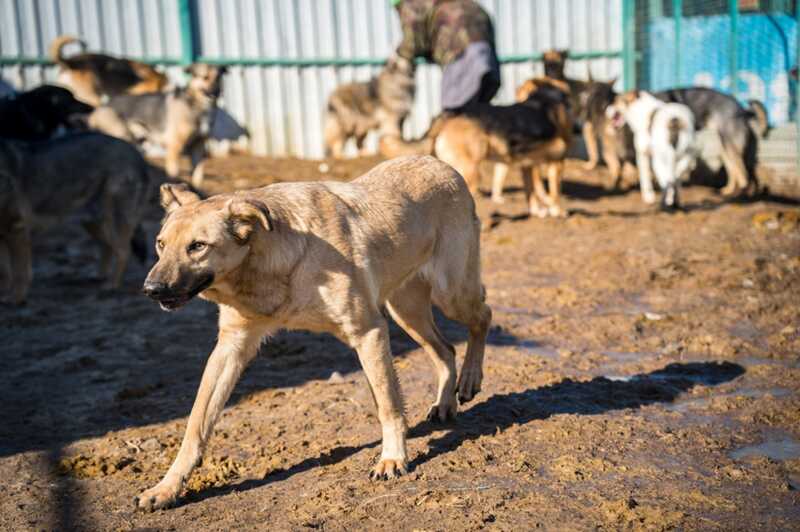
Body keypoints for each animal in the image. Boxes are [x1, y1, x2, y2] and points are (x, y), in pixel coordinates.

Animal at [134, 157, 490, 512]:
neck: (268, 259)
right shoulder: (231, 347)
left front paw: (392, 459)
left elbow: (388, 404)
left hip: (450, 293)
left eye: (197, 247)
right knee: (446, 350)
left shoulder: (368, 331)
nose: (150, 289)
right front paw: (166, 487)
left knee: (482, 316)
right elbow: (196, 423)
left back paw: (470, 379)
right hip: (407, 311)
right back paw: (445, 403)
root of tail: (439, 163)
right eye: (160, 244)